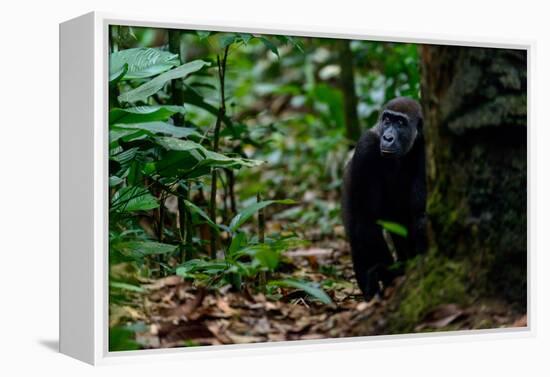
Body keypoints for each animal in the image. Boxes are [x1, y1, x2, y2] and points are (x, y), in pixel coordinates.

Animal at [342, 96, 430, 300]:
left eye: (400, 123)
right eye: (387, 120)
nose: (388, 137)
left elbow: (420, 214)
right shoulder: (365, 147)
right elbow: (367, 225)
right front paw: (393, 275)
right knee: (357, 237)